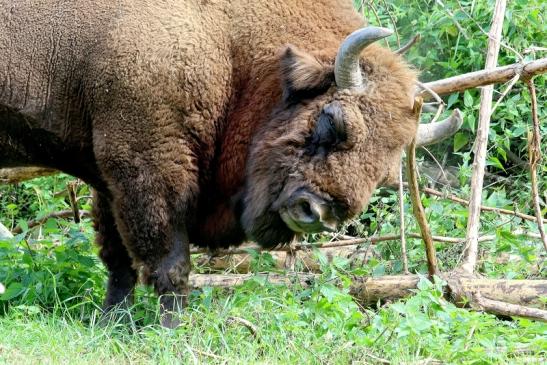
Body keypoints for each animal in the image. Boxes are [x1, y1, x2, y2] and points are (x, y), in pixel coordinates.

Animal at [1, 0, 458, 324]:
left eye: (384, 170)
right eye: (333, 121)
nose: (316, 212)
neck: (227, 41)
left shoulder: (107, 180)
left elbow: (118, 259)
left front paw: (111, 323)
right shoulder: (146, 169)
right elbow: (168, 263)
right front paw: (170, 330)